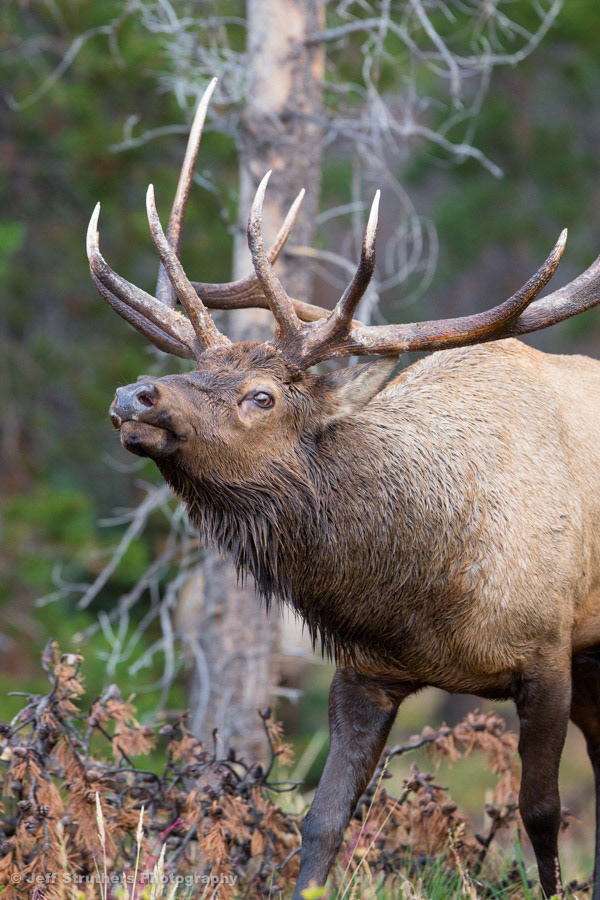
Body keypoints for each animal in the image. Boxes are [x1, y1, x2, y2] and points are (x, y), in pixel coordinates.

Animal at [87, 80, 600, 899]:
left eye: (262, 396)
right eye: (200, 369)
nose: (136, 395)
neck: (424, 591)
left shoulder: (548, 651)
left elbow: (544, 816)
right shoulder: (365, 670)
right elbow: (323, 821)